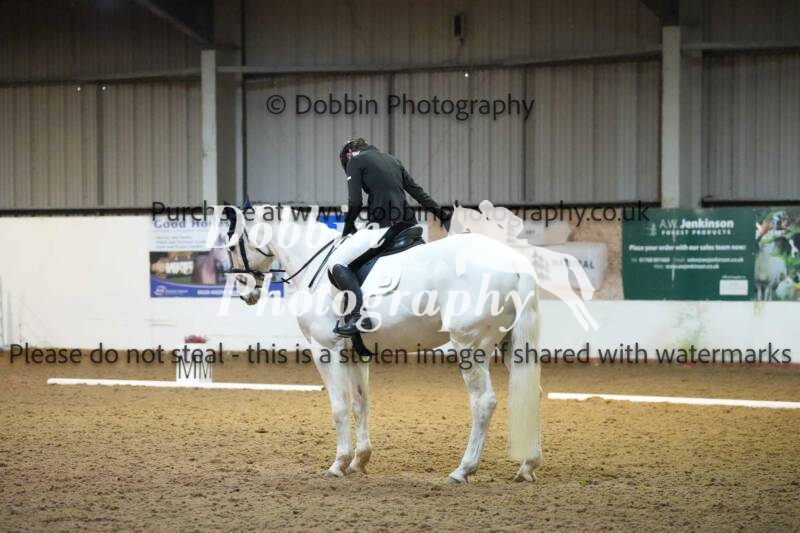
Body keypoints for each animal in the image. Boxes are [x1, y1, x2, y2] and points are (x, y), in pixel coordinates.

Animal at [222, 204, 543, 483]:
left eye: (230, 246)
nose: (246, 293)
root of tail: (514, 261)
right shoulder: (355, 354)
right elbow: (360, 403)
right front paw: (359, 461)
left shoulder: (325, 349)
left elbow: (339, 406)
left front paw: (338, 463)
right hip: (510, 346)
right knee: (533, 393)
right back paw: (527, 465)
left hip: (470, 345)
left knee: (483, 402)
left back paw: (463, 470)